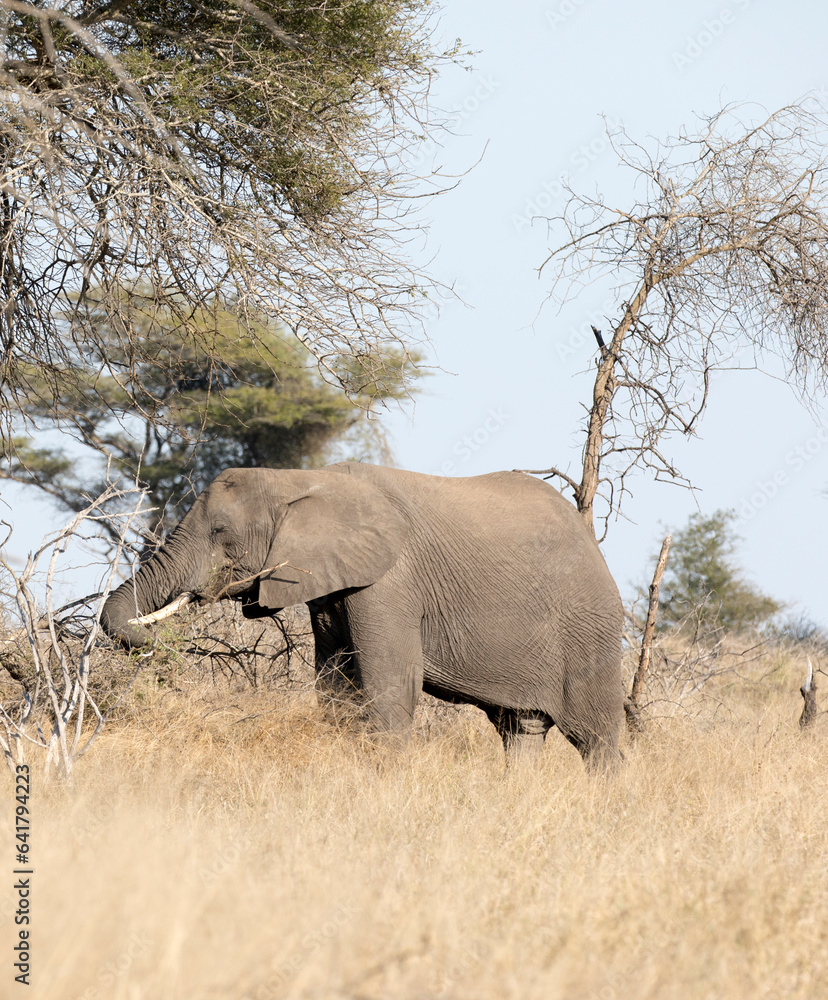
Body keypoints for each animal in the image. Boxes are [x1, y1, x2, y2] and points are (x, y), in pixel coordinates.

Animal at [100, 463, 624, 766]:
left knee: (596, 739)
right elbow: (335, 686)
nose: (161, 648)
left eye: (220, 532)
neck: (303, 477)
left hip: (590, 629)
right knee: (521, 730)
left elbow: (389, 687)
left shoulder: (391, 581)